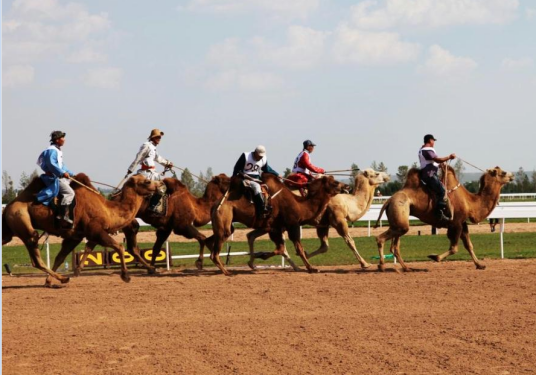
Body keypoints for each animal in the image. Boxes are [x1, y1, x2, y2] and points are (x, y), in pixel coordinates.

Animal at [1, 175, 161, 286]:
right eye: (147, 181)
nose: (159, 184)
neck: (109, 211)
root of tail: (7, 207)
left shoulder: (75, 236)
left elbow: (61, 257)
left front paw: (49, 281)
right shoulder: (96, 230)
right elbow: (119, 247)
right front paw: (126, 276)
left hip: (9, 230)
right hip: (23, 222)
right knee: (36, 258)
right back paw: (64, 278)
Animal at [75, 174, 230, 276]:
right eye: (226, 180)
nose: (234, 181)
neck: (196, 206)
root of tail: (111, 199)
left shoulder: (166, 228)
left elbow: (156, 248)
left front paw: (153, 266)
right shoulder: (182, 226)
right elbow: (202, 238)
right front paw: (200, 263)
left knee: (94, 243)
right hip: (124, 223)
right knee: (129, 246)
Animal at [203, 174, 346, 276]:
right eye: (334, 183)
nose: (346, 186)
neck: (300, 206)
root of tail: (215, 205)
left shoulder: (275, 228)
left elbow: (281, 248)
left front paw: (258, 257)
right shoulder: (289, 226)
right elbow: (296, 248)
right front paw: (312, 268)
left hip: (224, 223)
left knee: (211, 239)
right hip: (224, 217)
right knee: (217, 248)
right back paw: (227, 272)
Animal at [246, 170, 390, 270]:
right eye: (376, 173)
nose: (387, 176)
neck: (349, 203)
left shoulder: (323, 225)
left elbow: (324, 246)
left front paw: (305, 256)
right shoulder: (338, 220)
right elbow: (350, 241)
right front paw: (365, 263)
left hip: (268, 225)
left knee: (251, 235)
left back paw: (255, 262)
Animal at [374, 166, 512, 272]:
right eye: (503, 172)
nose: (512, 176)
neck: (470, 202)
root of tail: (388, 201)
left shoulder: (462, 223)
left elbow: (469, 245)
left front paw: (480, 265)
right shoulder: (456, 224)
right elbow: (454, 248)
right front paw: (435, 257)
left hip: (398, 222)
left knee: (395, 246)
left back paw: (406, 268)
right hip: (400, 216)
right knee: (380, 238)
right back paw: (382, 266)